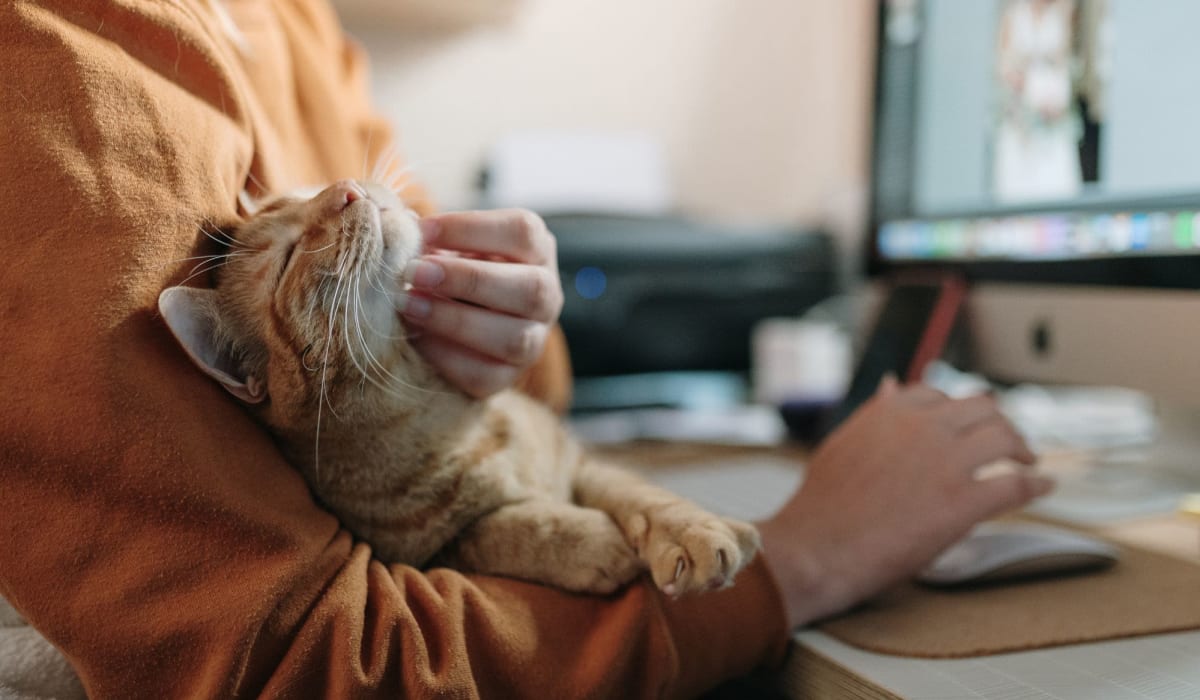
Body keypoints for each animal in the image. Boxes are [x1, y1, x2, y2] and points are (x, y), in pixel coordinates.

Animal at [159, 177, 758, 595]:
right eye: (286, 259)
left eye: (311, 190)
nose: (348, 188)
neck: (443, 418)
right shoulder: (424, 555)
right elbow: (507, 529)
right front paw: (593, 542)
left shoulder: (580, 459)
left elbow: (641, 493)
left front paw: (695, 532)